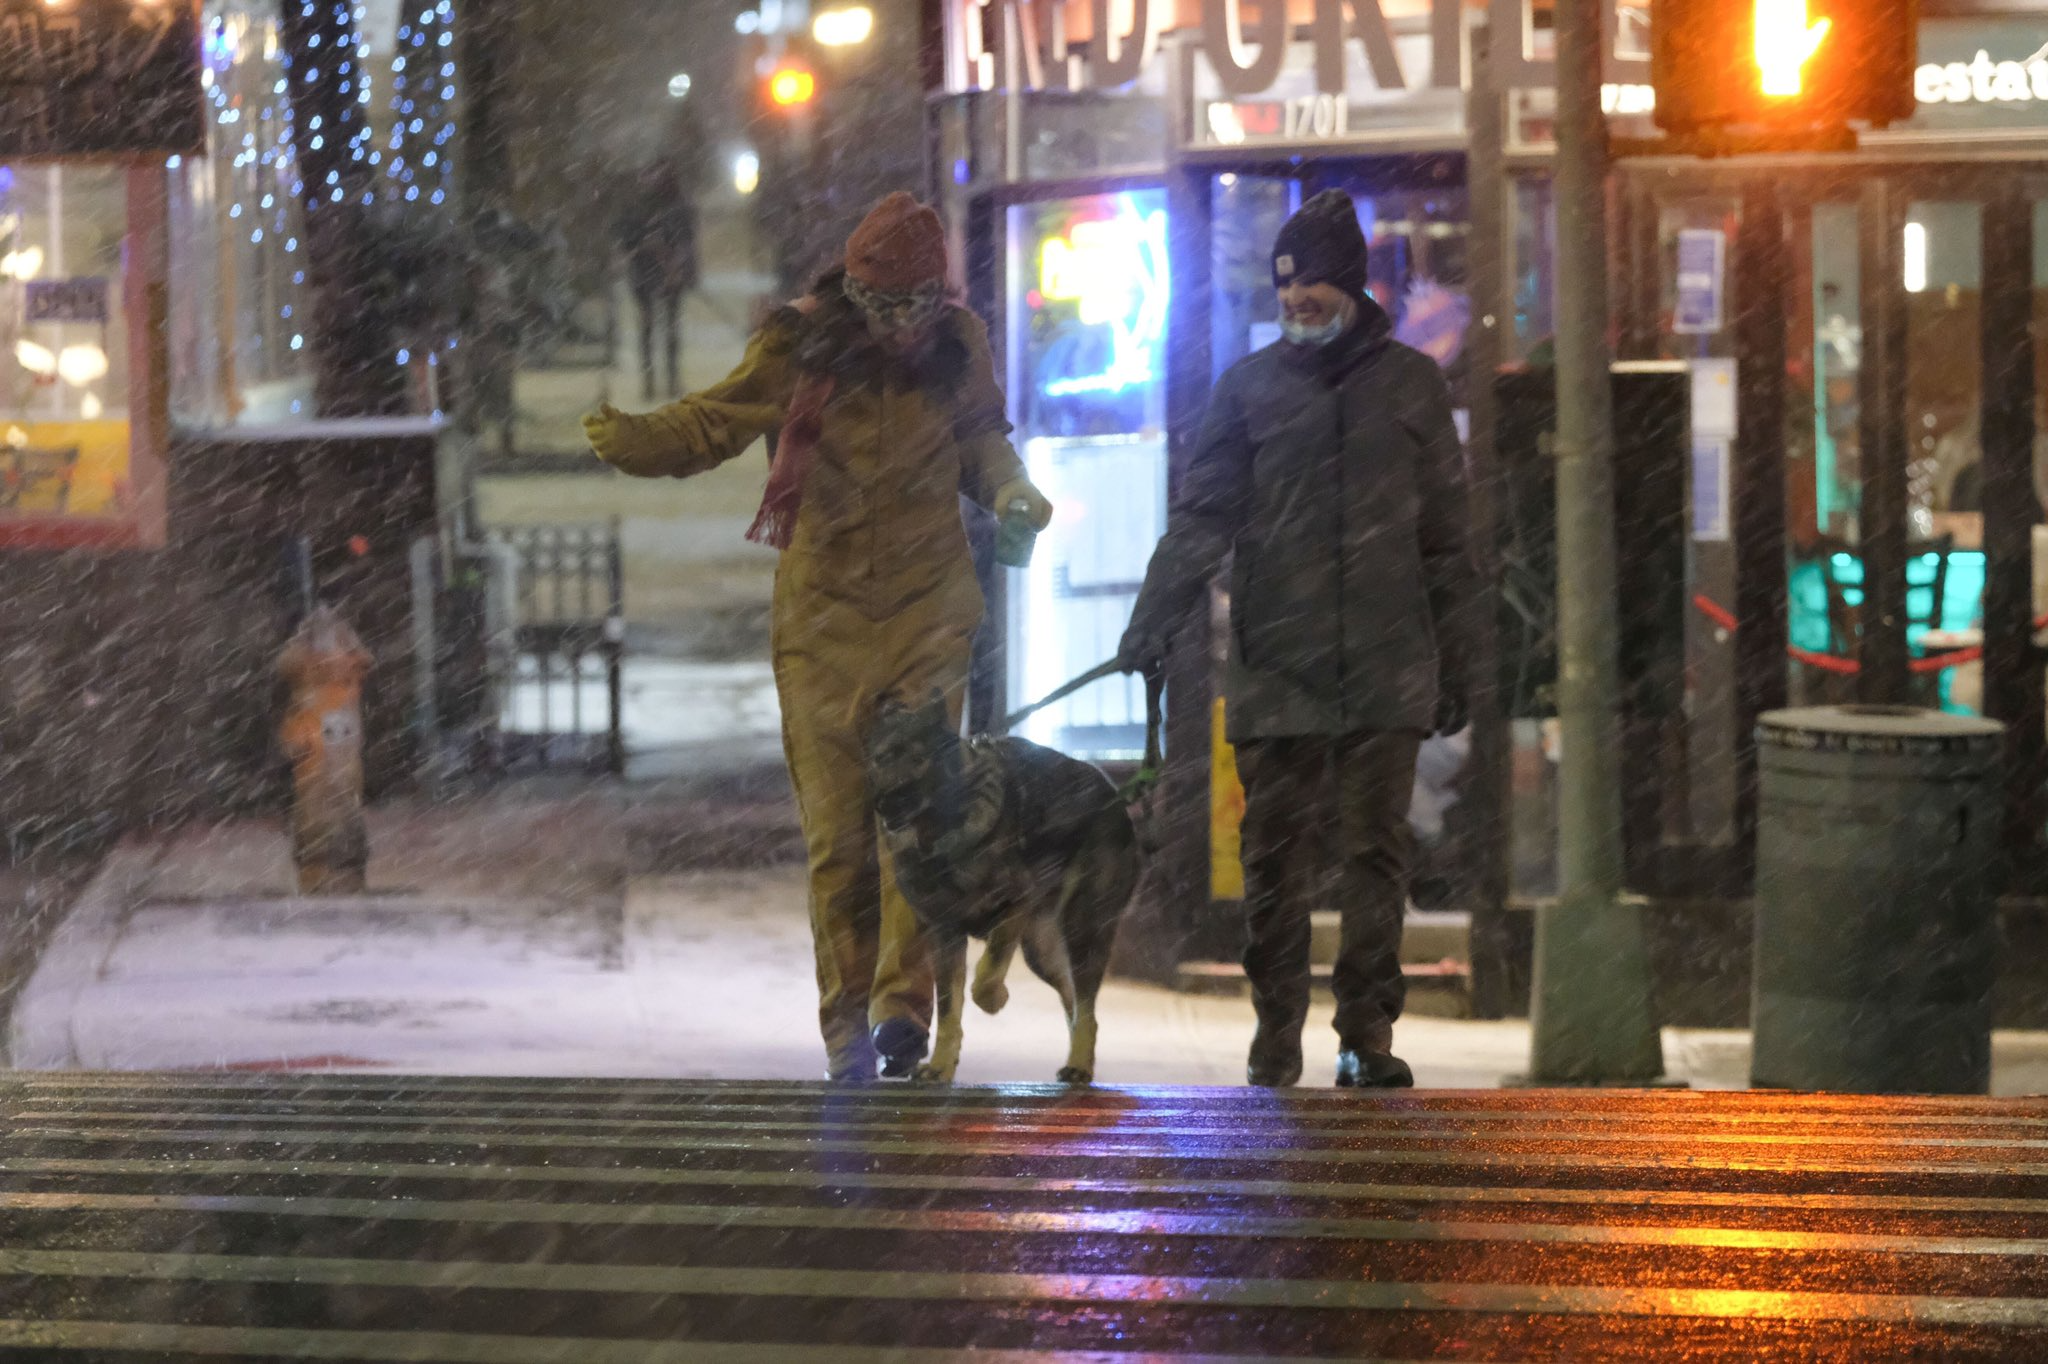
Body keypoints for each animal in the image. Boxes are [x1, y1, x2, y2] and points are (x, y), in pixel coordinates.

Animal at [864, 692, 1146, 1081]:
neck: (940, 839)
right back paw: (1079, 1058)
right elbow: (949, 1010)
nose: (885, 804)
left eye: (919, 760)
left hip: (1081, 931)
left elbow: (985, 974)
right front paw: (941, 1065)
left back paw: (1078, 1064)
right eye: (881, 759)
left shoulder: (1014, 908)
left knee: (1086, 1005)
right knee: (1074, 1003)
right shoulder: (944, 937)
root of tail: (1114, 792)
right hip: (1042, 953)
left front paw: (995, 999)